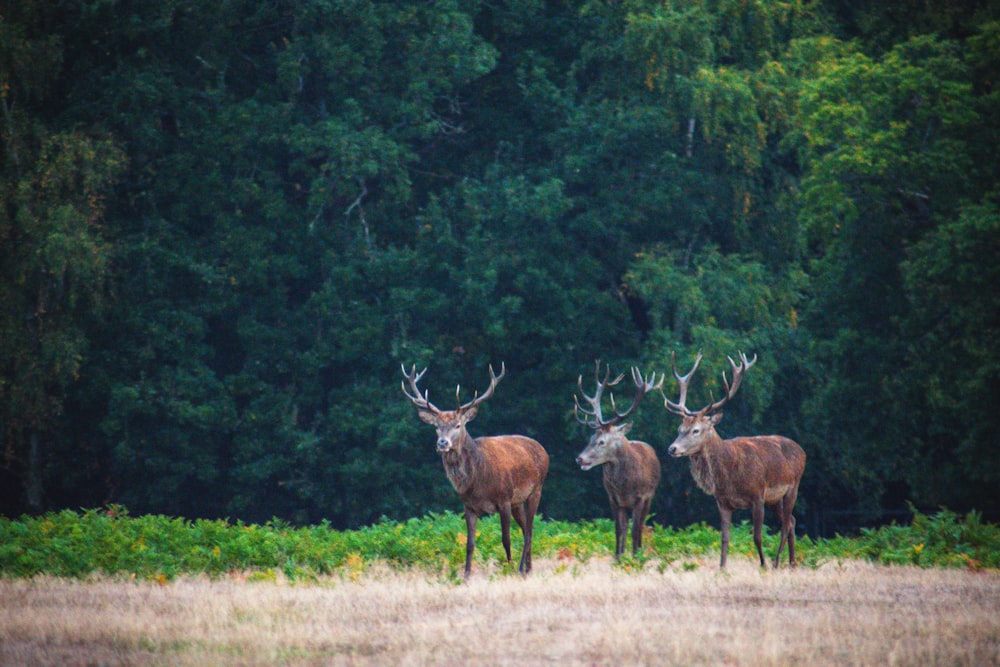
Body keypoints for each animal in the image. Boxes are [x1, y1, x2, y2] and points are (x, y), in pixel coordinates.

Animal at [402, 362, 552, 576]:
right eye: (436, 426)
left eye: (458, 425)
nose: (442, 443)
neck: (479, 481)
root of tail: (543, 450)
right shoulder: (469, 506)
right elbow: (470, 544)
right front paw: (466, 576)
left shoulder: (504, 499)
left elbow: (505, 540)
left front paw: (508, 568)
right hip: (518, 501)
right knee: (526, 530)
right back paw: (529, 569)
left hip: (535, 490)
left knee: (530, 531)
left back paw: (522, 568)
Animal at [580, 362, 664, 560]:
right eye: (591, 438)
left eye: (602, 442)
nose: (580, 458)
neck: (624, 486)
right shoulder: (613, 498)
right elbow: (618, 529)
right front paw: (618, 557)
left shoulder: (641, 497)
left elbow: (636, 529)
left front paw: (635, 557)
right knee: (626, 527)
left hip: (650, 497)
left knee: (640, 526)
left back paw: (638, 551)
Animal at [660, 350, 808, 568]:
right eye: (680, 428)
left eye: (696, 430)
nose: (672, 448)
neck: (730, 476)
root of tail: (802, 450)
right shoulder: (723, 502)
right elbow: (725, 538)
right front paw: (722, 568)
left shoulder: (757, 496)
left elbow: (757, 536)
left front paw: (763, 565)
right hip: (775, 499)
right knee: (791, 521)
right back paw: (792, 563)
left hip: (793, 487)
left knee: (785, 524)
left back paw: (776, 563)